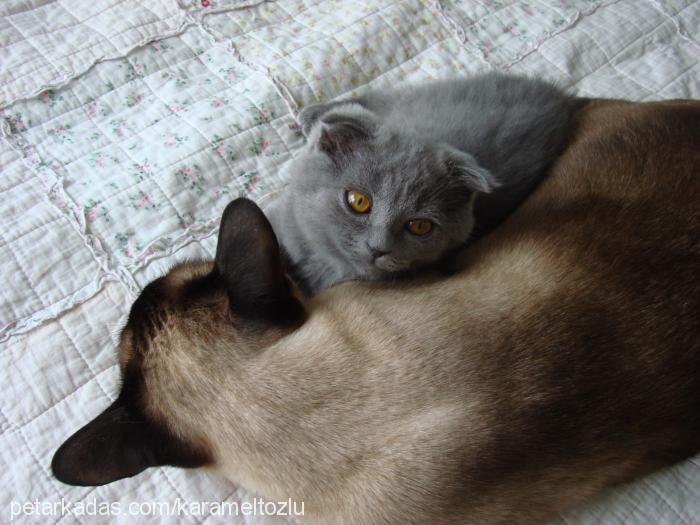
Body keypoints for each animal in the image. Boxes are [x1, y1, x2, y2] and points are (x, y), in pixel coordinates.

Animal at [266, 71, 584, 296]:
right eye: (358, 201)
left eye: (419, 226)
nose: (378, 248)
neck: (325, 264)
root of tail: (561, 97)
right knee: (365, 100)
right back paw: (307, 118)